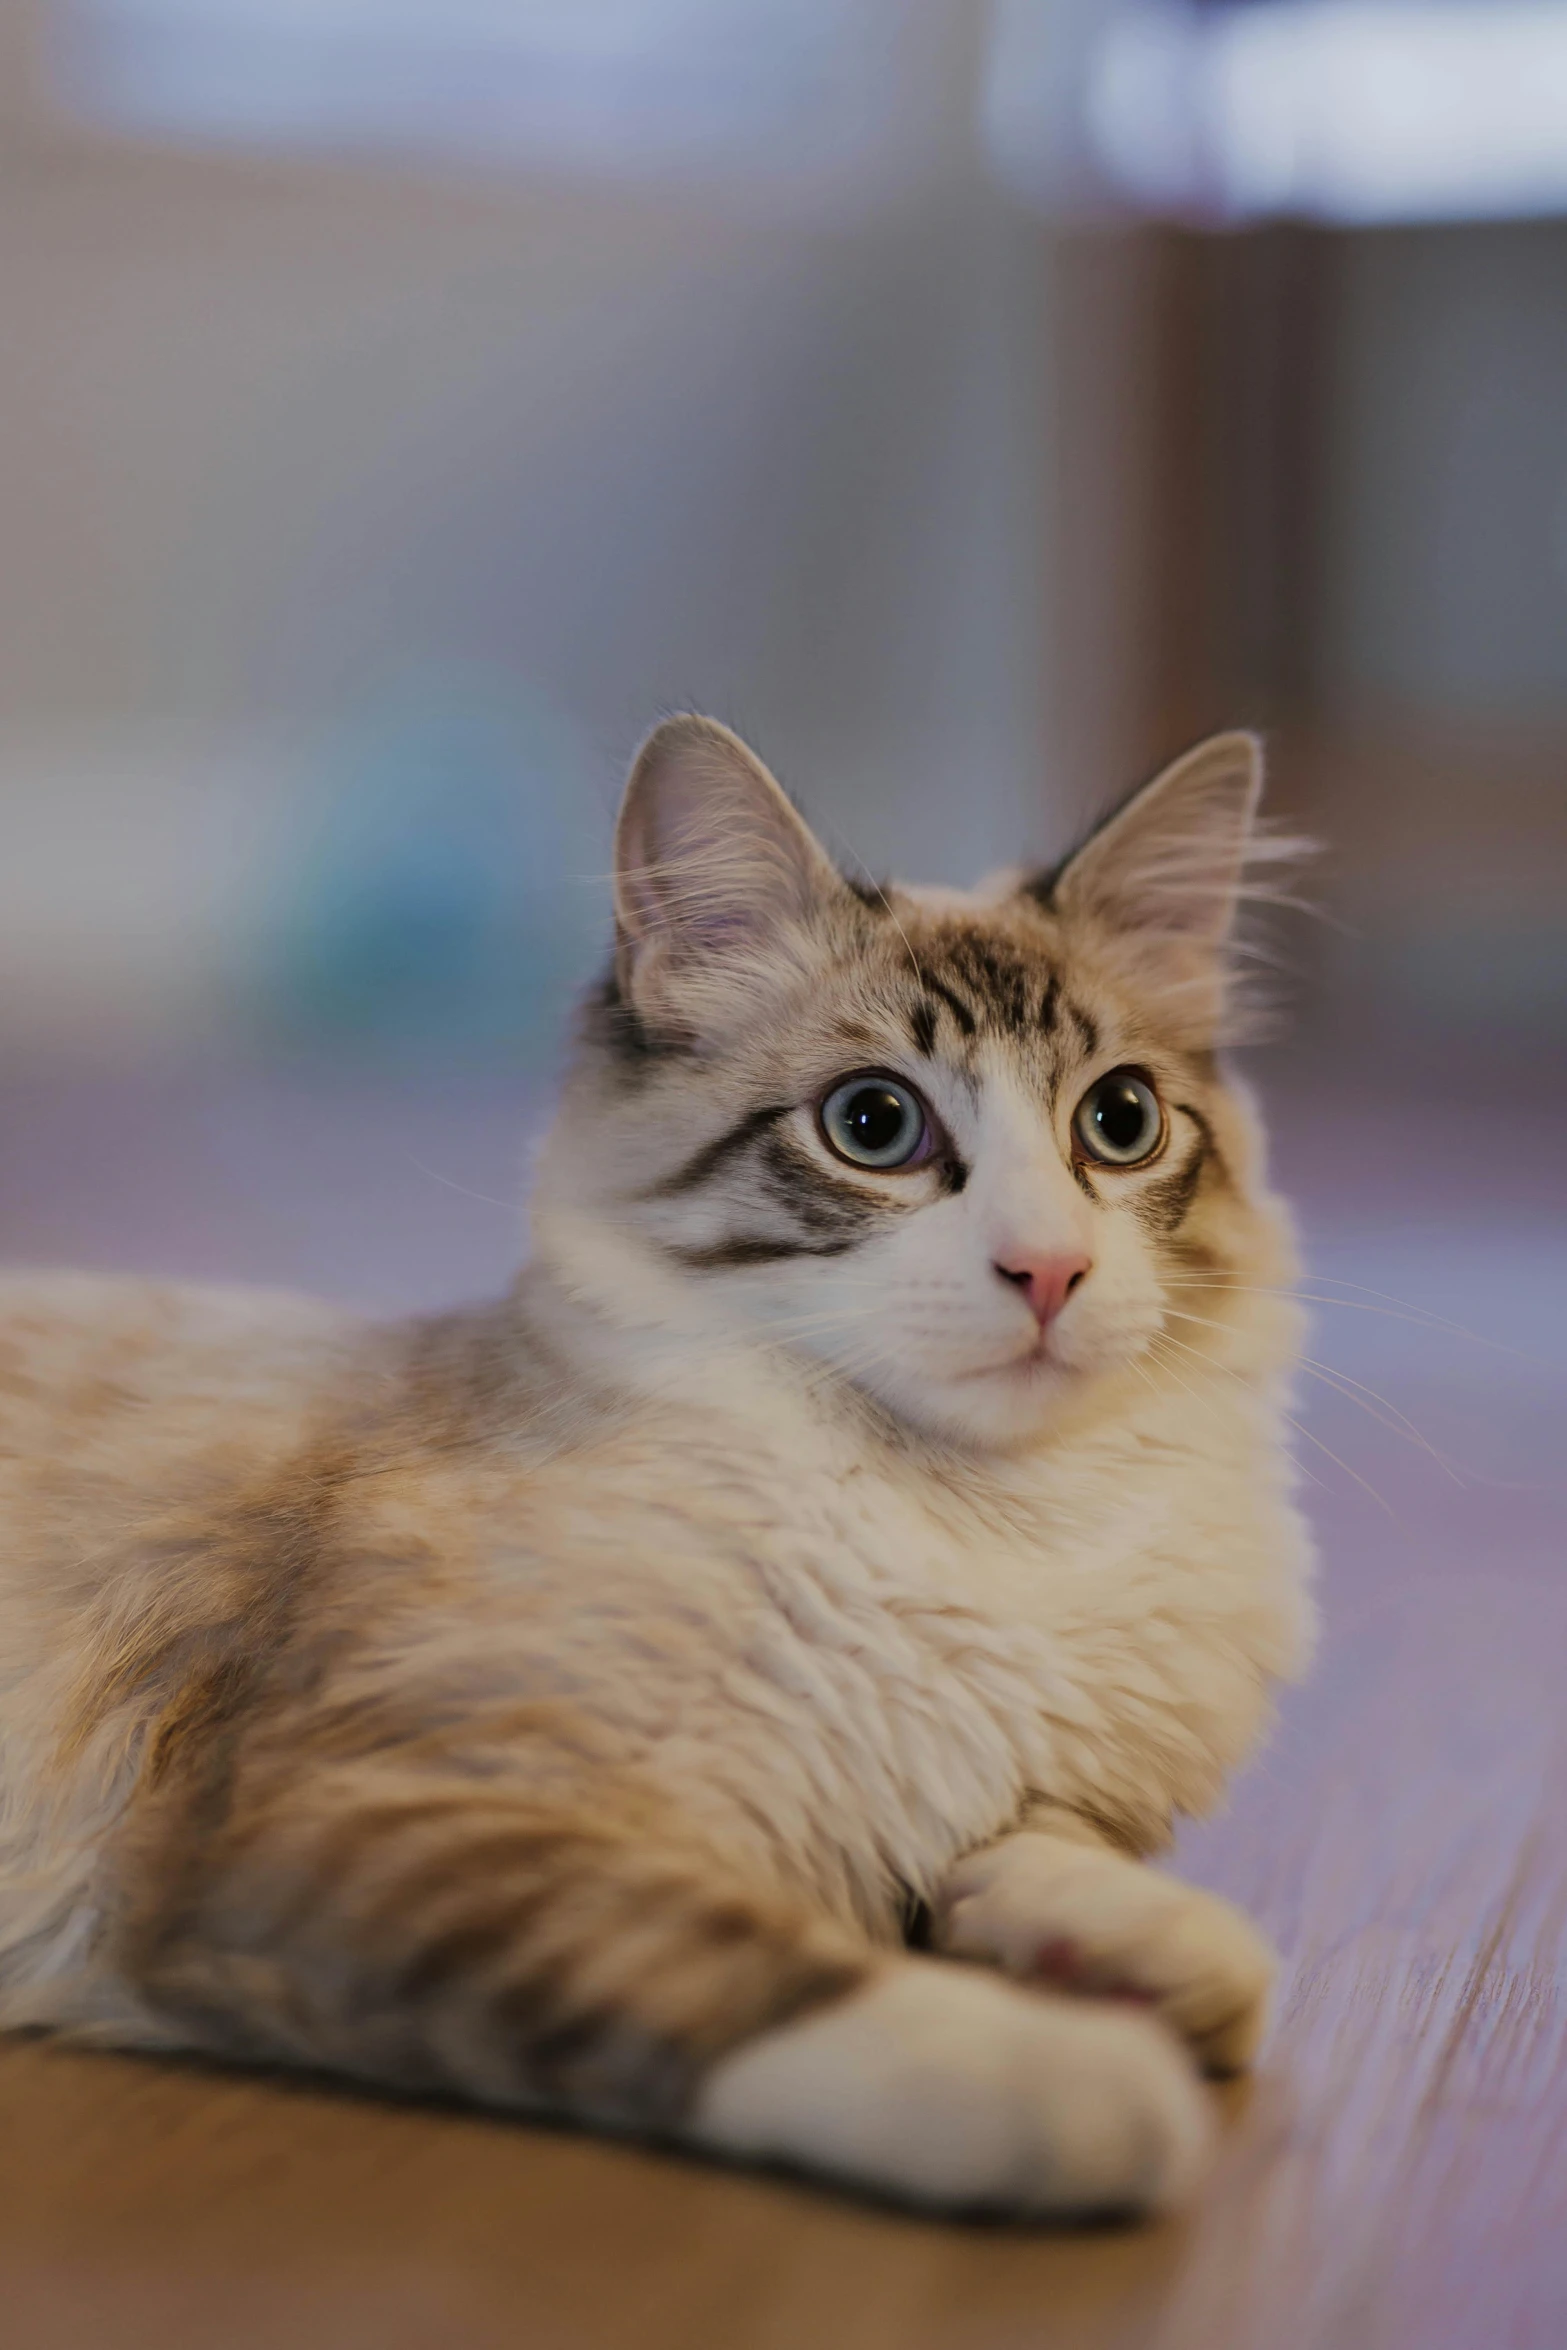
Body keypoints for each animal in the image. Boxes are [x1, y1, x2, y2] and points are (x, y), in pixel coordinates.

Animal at [0, 714, 1315, 2218]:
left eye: (1119, 1122)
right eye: (875, 1123)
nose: (1048, 1269)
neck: (984, 1531)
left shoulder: (1030, 1794)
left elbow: (1149, 1916)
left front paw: (1102, 1950)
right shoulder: (366, 1813)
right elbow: (763, 1974)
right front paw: (1067, 2075)